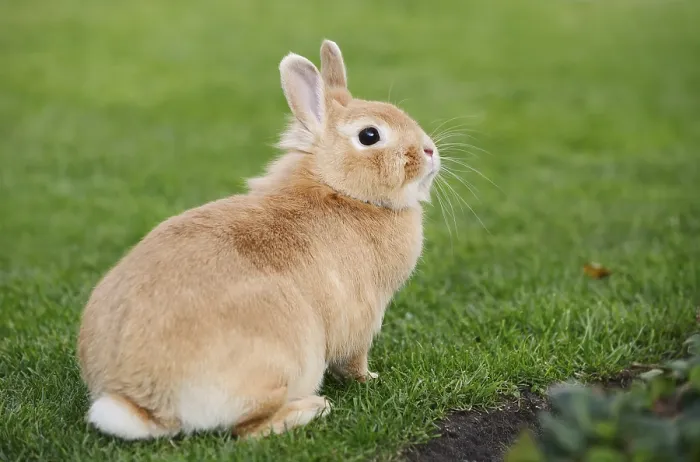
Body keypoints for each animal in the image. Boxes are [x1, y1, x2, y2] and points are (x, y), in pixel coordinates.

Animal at [77, 39, 441, 441]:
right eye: (369, 136)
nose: (430, 151)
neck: (340, 190)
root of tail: (147, 405)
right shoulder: (362, 317)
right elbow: (354, 361)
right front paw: (371, 378)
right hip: (285, 362)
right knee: (248, 429)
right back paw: (313, 408)